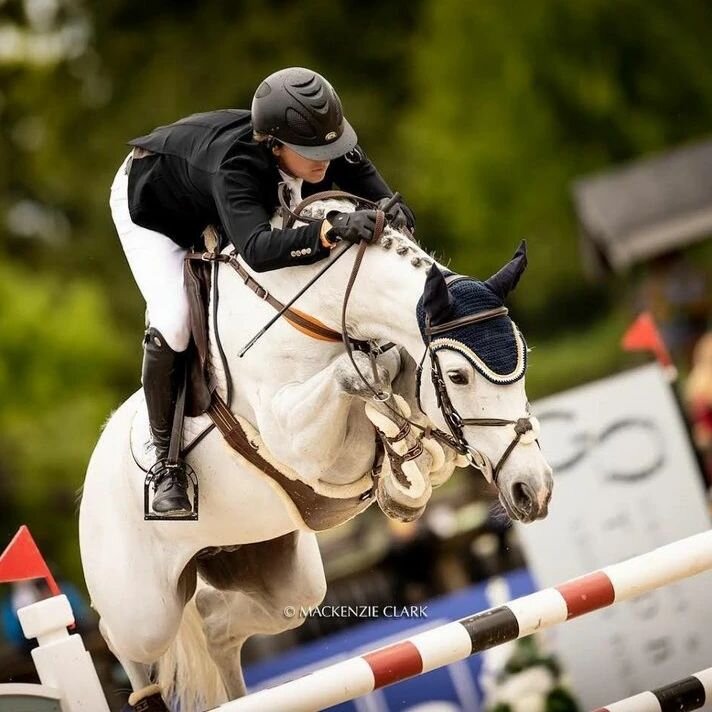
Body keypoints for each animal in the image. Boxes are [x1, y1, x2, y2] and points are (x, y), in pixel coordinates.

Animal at [79, 196, 556, 712]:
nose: (534, 490)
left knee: (217, 624)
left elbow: (397, 381)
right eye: (458, 375)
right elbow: (360, 371)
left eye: (525, 355)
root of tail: (89, 480)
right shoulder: (300, 439)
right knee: (121, 638)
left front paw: (404, 468)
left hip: (281, 578)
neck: (319, 307)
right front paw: (398, 452)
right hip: (145, 612)